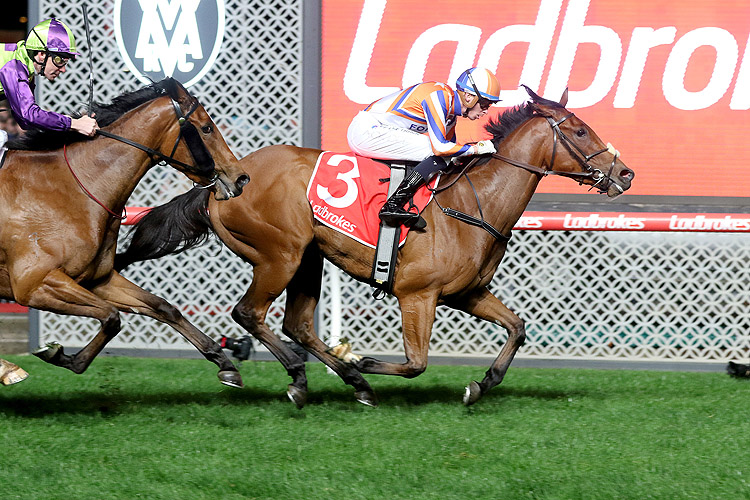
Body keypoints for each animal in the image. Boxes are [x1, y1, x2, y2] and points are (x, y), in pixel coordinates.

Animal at [0, 78, 253, 388]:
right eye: (206, 127)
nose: (241, 178)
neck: (69, 188)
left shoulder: (97, 279)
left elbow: (161, 307)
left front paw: (224, 362)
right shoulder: (35, 285)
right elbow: (112, 317)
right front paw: (59, 356)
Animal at [116, 87, 636, 406]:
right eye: (580, 130)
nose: (626, 173)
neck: (474, 204)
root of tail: (223, 182)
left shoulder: (466, 293)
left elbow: (518, 327)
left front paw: (482, 384)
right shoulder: (417, 295)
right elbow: (417, 363)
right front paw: (363, 357)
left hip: (307, 258)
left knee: (296, 324)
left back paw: (352, 383)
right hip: (280, 254)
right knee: (250, 314)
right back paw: (304, 376)